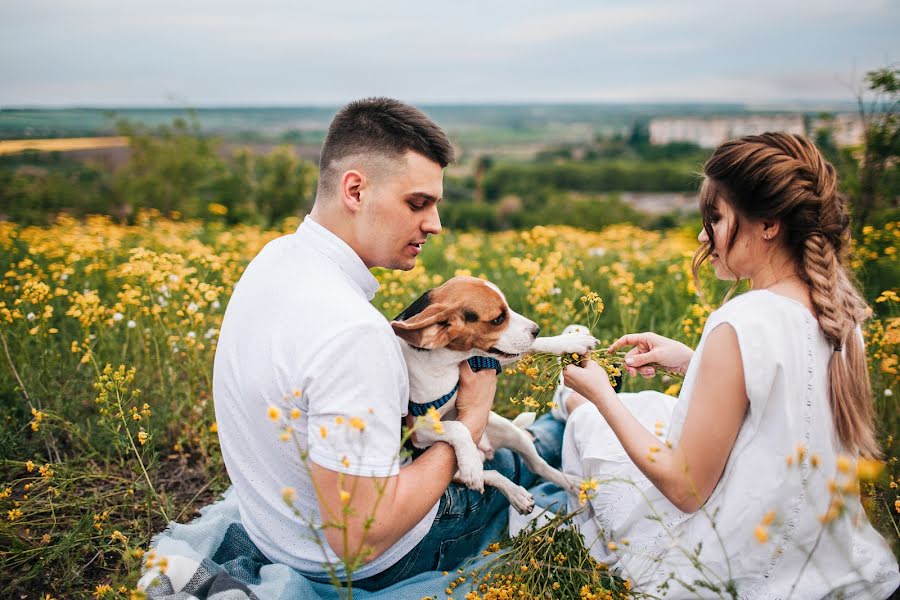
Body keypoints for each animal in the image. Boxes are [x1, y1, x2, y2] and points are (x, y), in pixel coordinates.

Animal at [390, 276, 596, 516]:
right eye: (498, 319)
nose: (536, 329)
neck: (448, 361)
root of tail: (486, 449)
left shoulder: (489, 356)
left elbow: (534, 345)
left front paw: (569, 342)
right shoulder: (418, 428)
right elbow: (457, 427)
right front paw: (470, 463)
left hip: (509, 431)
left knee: (537, 465)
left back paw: (571, 484)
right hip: (450, 473)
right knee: (491, 474)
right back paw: (509, 489)